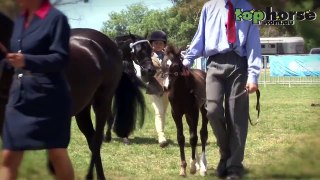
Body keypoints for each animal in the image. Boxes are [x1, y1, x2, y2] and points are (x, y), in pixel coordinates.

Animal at [0, 11, 155, 179]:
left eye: (150, 50)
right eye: (140, 50)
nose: (151, 70)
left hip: (101, 101)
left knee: (96, 140)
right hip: (84, 108)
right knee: (92, 138)